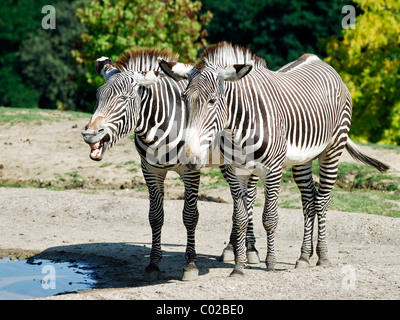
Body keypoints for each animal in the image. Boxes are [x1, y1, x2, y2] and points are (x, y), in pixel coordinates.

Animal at [81, 48, 260, 282]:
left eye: (124, 99)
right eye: (97, 96)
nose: (89, 134)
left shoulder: (190, 170)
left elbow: (190, 216)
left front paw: (190, 265)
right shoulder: (150, 170)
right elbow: (155, 217)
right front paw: (153, 265)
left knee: (250, 199)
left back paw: (251, 250)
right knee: (239, 200)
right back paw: (231, 249)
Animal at [160, 42, 390, 276]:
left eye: (212, 101)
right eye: (184, 99)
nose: (189, 158)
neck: (238, 127)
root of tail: (317, 59)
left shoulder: (273, 170)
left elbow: (269, 218)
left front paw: (270, 263)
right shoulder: (235, 171)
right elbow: (240, 218)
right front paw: (239, 267)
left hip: (333, 149)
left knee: (323, 199)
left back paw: (323, 256)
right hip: (302, 160)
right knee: (309, 199)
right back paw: (304, 256)